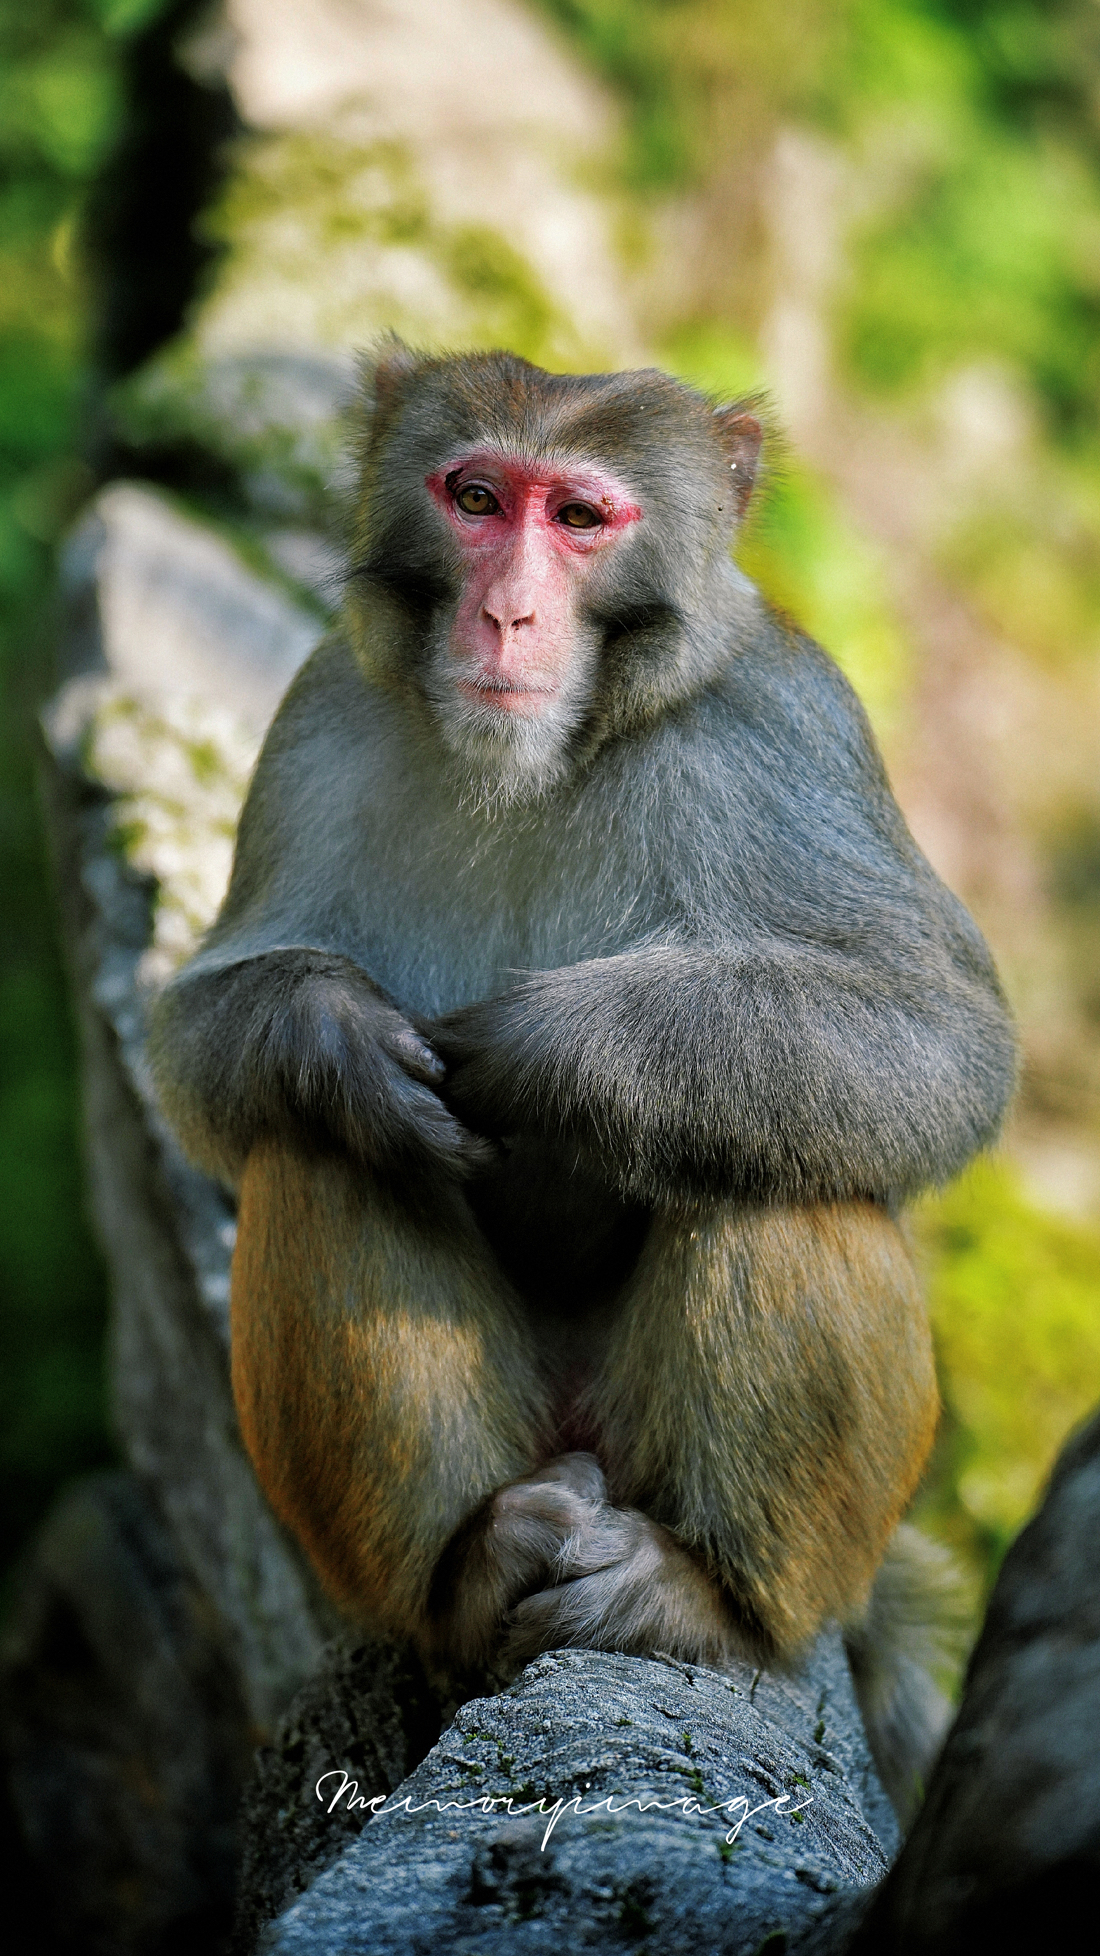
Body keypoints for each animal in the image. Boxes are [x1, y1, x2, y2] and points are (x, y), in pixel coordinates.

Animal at [147, 340, 1009, 1815]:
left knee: (783, 1150)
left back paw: (708, 1604)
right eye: (477, 498)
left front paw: (556, 1058)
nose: (505, 615)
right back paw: (467, 1577)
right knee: (318, 1153)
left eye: (582, 519)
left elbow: (940, 1040)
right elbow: (204, 1034)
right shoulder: (319, 713)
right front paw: (336, 1042)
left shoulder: (791, 729)